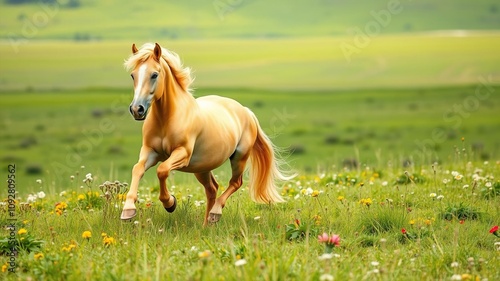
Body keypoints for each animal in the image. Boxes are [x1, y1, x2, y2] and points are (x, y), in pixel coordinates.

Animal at [120, 42, 292, 225]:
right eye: (133, 75)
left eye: (154, 74)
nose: (137, 109)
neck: (167, 118)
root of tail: (246, 111)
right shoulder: (150, 151)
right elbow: (137, 169)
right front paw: (128, 210)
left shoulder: (182, 153)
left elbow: (162, 170)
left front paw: (170, 203)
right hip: (201, 167)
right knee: (212, 189)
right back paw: (206, 224)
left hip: (239, 157)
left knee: (235, 183)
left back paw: (215, 213)